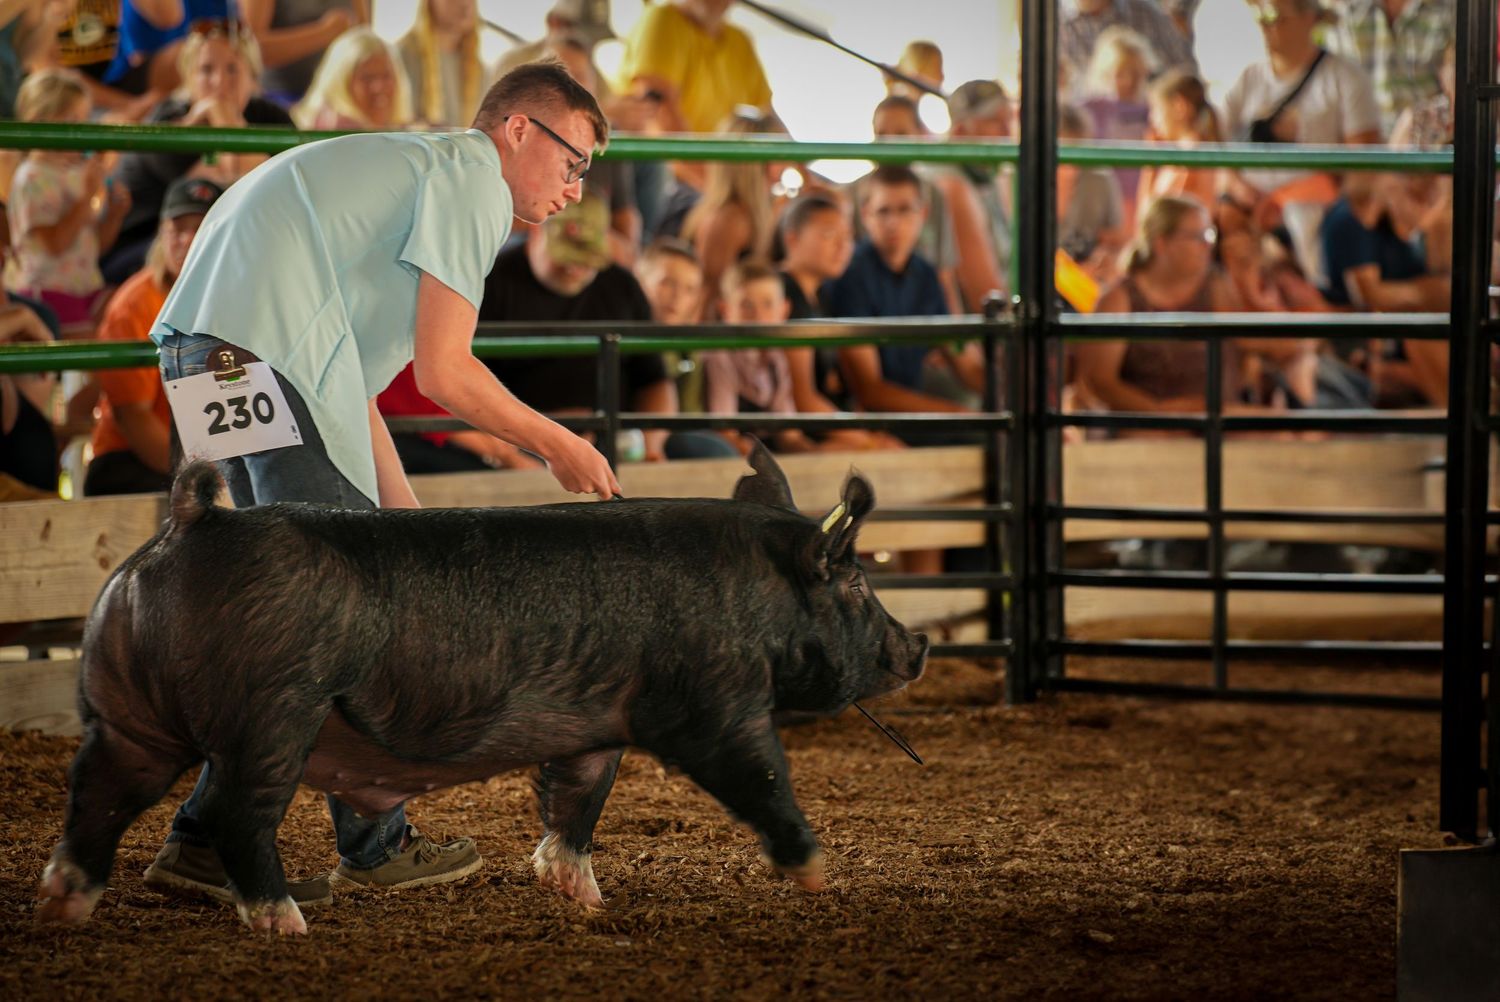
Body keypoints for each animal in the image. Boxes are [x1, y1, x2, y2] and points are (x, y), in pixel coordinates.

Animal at [35, 442, 928, 934]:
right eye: (854, 584)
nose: (916, 645)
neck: (758, 589)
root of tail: (194, 522)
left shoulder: (595, 722)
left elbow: (577, 796)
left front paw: (584, 898)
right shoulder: (716, 702)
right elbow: (763, 776)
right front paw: (816, 877)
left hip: (130, 712)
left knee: (98, 793)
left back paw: (64, 904)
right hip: (273, 716)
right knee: (233, 816)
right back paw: (287, 924)